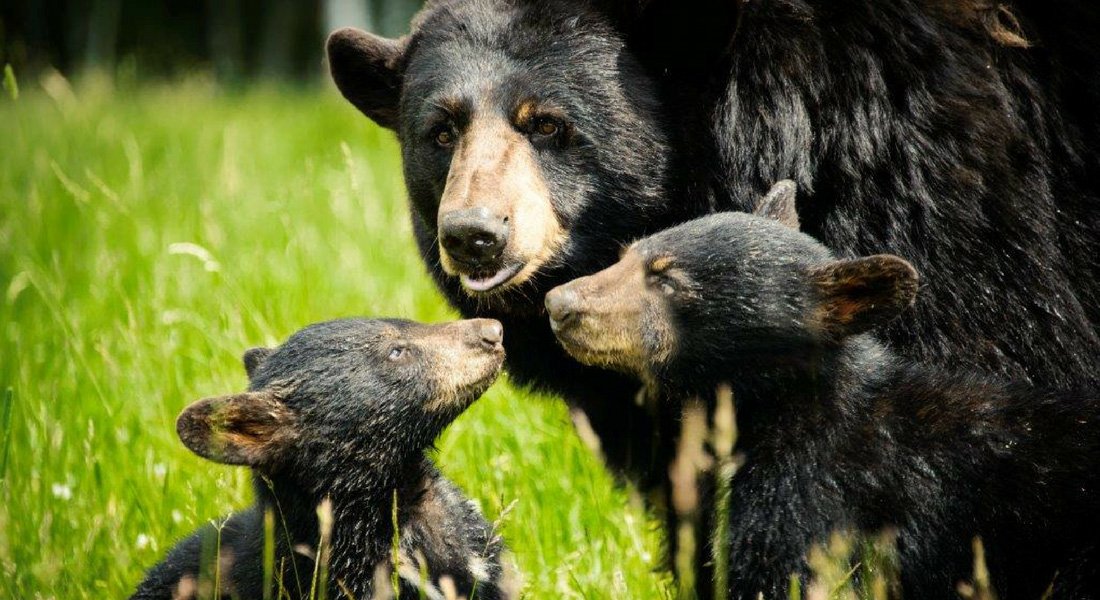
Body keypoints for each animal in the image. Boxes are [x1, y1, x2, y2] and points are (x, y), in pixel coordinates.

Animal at [545, 186, 1100, 594]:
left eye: (668, 282)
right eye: (626, 255)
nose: (560, 304)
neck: (774, 412)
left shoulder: (816, 497)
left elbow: (781, 573)